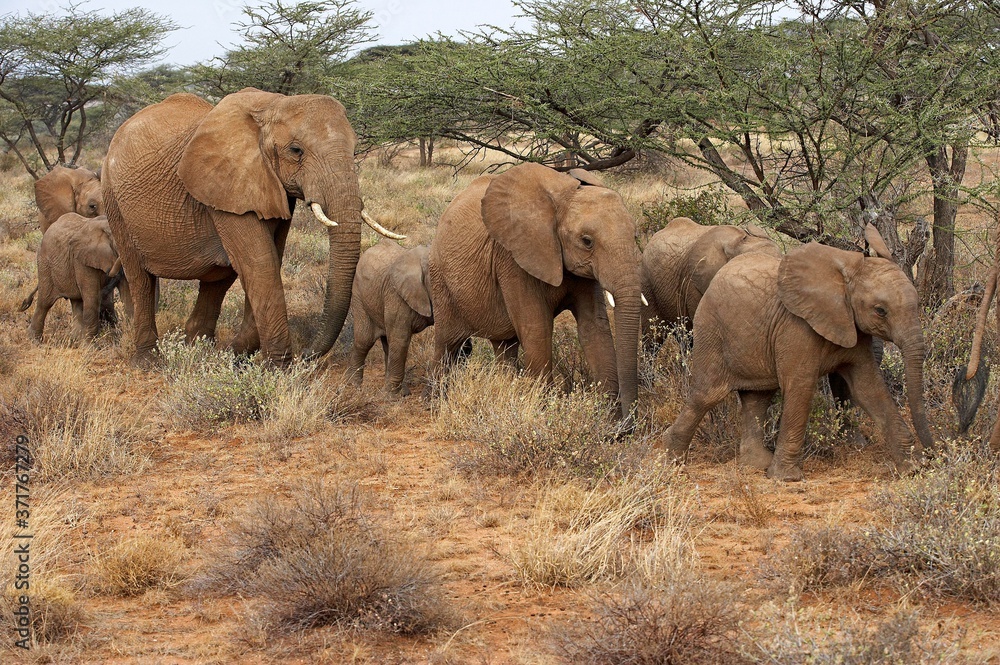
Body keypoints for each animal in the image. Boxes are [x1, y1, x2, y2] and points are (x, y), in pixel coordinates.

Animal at [348, 239, 434, 394]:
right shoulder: (396, 296)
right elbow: (401, 340)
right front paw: (389, 396)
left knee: (387, 343)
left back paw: (402, 392)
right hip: (359, 296)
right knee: (364, 341)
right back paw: (354, 386)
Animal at [430, 163, 640, 418]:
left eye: (635, 235)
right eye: (587, 241)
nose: (631, 419)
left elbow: (595, 327)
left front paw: (610, 421)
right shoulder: (513, 258)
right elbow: (537, 328)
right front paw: (544, 414)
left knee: (505, 345)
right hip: (440, 280)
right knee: (447, 343)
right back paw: (435, 404)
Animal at [660, 227, 932, 478]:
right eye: (880, 311)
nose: (934, 451)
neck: (844, 276)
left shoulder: (851, 327)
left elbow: (868, 388)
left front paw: (913, 468)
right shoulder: (796, 327)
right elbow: (800, 386)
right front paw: (786, 478)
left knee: (757, 398)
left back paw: (756, 464)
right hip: (711, 330)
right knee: (706, 394)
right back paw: (671, 460)